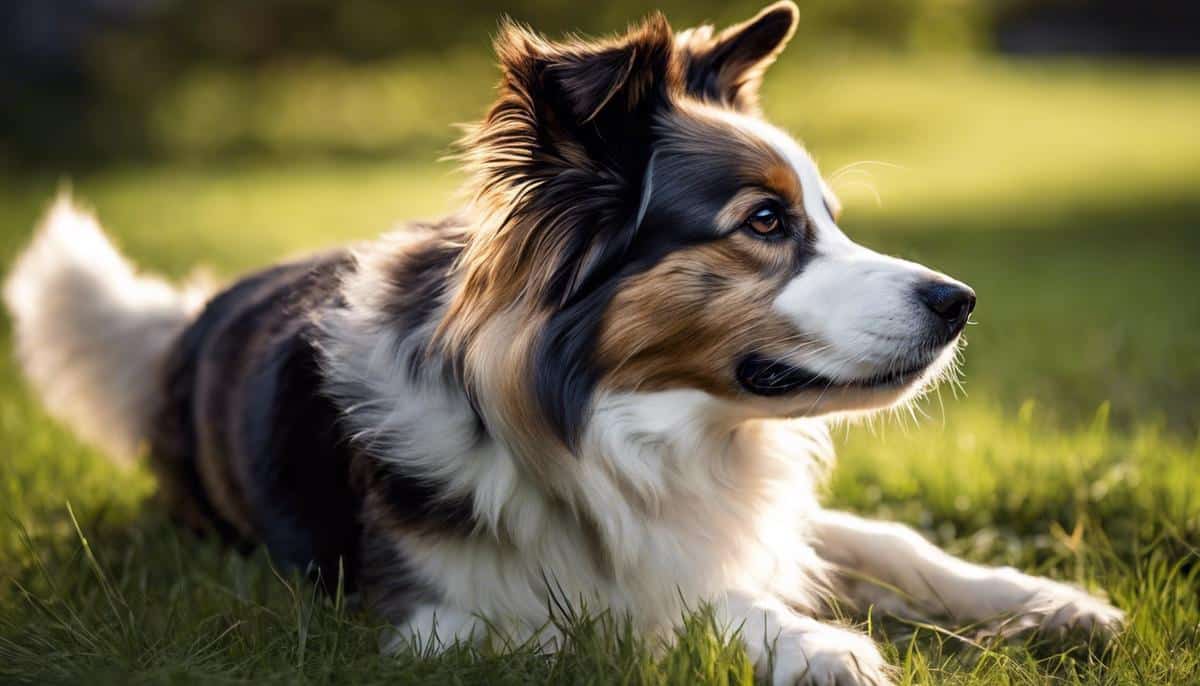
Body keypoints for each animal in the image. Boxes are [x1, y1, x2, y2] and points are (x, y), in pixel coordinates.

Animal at [4, 2, 1118, 681]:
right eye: (765, 220)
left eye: (832, 219)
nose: (958, 302)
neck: (628, 428)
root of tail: (187, 326)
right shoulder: (436, 625)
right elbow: (648, 606)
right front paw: (813, 643)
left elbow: (886, 538)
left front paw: (1048, 601)